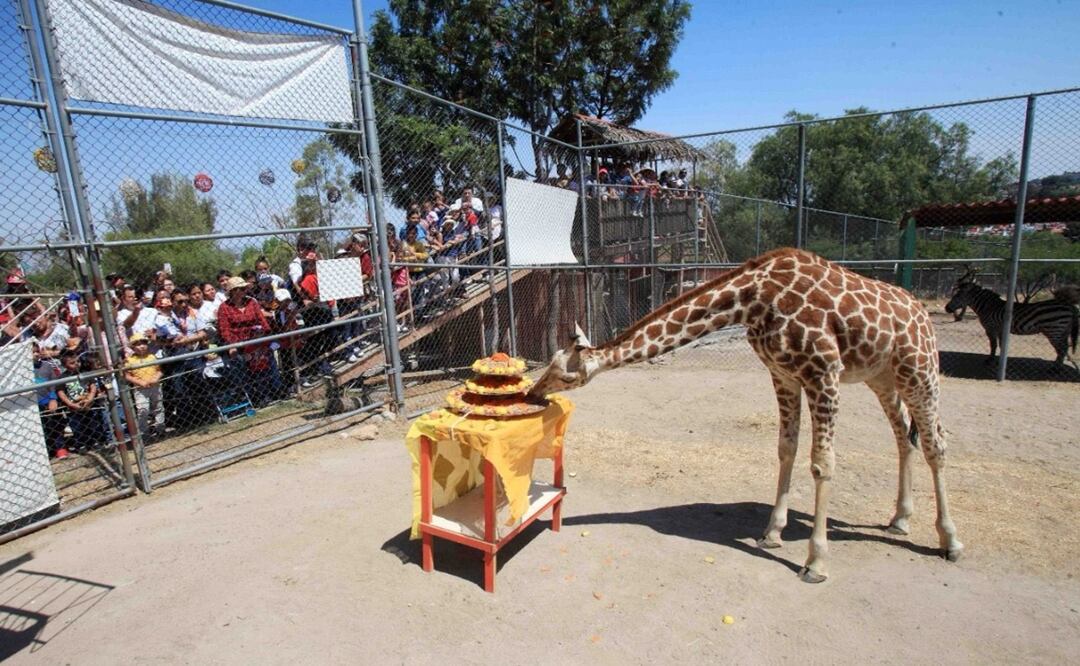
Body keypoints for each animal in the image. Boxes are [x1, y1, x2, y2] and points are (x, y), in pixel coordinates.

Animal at [529, 248, 963, 583]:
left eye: (563, 374)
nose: (533, 392)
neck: (754, 298)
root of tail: (922, 312)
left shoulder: (823, 372)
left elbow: (822, 463)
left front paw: (816, 562)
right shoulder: (783, 374)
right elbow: (786, 448)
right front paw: (772, 533)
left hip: (919, 369)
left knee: (936, 442)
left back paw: (950, 541)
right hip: (883, 377)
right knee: (903, 434)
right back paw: (900, 519)